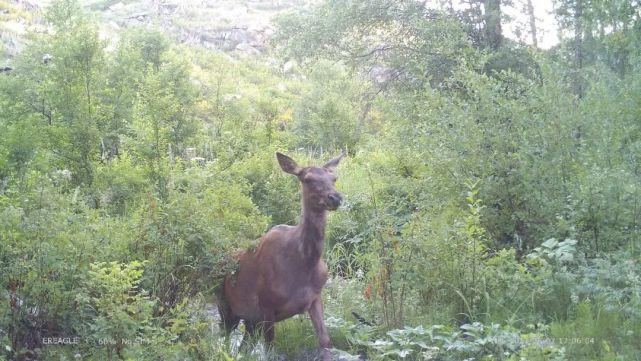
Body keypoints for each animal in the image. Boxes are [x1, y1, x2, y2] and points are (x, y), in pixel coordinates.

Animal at [216, 150, 344, 356]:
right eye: (307, 179)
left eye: (334, 178)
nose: (335, 198)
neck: (304, 266)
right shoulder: (266, 304)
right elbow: (270, 349)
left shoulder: (315, 298)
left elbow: (325, 341)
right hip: (226, 307)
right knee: (224, 341)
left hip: (250, 320)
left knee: (244, 346)